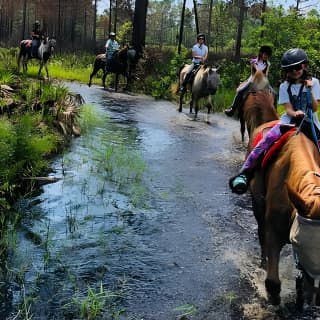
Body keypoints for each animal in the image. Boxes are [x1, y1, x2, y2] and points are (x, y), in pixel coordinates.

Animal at [249, 123, 320, 308]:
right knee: (261, 234)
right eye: (299, 244)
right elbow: (273, 281)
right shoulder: (273, 231)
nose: (318, 295)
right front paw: (273, 297)